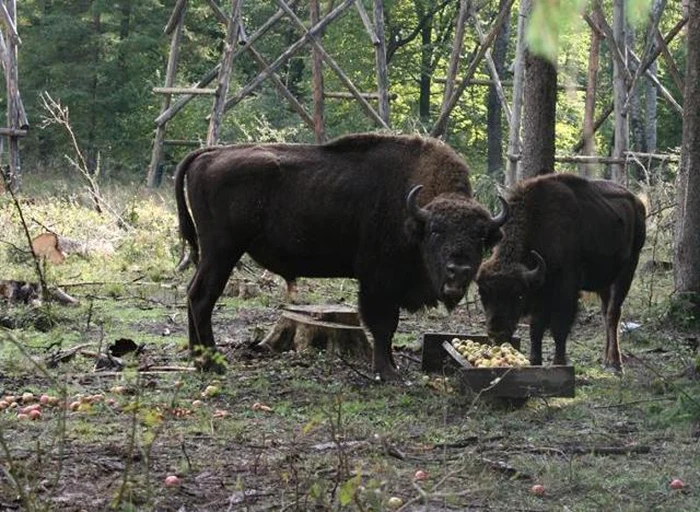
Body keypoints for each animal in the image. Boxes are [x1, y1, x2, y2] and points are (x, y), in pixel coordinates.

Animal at [174, 132, 504, 380]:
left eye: (480, 236)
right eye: (436, 231)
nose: (458, 269)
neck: (414, 215)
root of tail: (209, 155)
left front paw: (390, 368)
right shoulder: (379, 283)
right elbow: (383, 326)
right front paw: (387, 373)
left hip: (216, 253)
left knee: (193, 295)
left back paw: (200, 361)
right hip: (222, 251)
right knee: (202, 297)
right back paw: (211, 363)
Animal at [476, 173, 644, 372]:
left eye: (518, 295)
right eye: (483, 294)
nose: (497, 332)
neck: (540, 222)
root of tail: (637, 203)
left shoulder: (566, 289)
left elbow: (559, 327)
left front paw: (558, 362)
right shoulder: (540, 289)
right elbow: (536, 327)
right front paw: (535, 361)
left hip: (627, 270)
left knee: (613, 313)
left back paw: (614, 363)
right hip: (604, 281)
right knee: (605, 312)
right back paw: (605, 359)